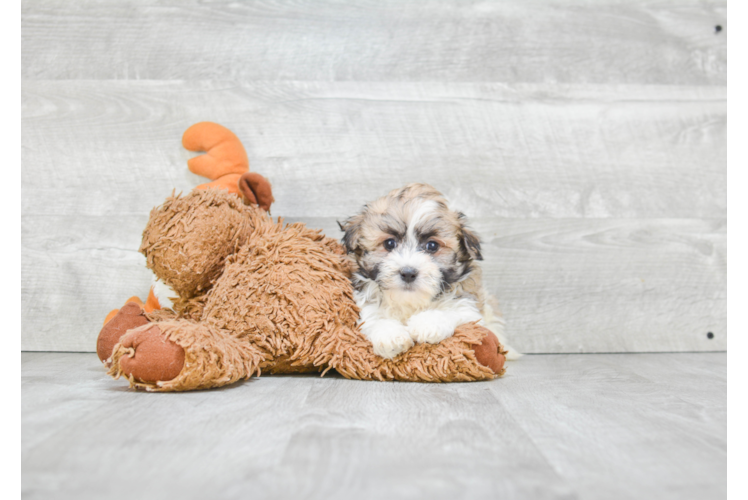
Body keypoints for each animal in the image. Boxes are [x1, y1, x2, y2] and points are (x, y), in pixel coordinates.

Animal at [340, 184, 520, 360]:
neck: (411, 302)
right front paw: (390, 335)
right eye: (389, 243)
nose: (408, 273)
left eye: (432, 246)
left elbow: (453, 311)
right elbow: (374, 317)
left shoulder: (470, 307)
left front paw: (427, 324)